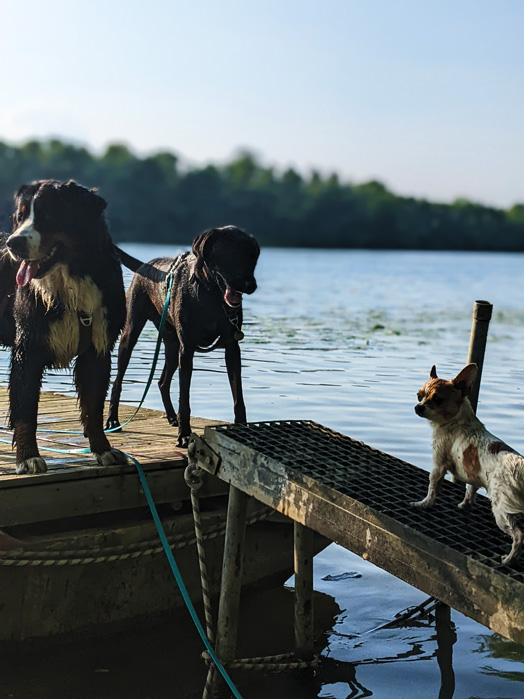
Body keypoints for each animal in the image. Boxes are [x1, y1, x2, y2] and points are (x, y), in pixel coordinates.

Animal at [1, 180, 128, 476]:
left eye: (48, 216)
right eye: (21, 216)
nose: (13, 243)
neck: (70, 280)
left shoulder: (97, 350)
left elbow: (94, 408)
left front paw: (102, 450)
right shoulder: (28, 350)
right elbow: (26, 410)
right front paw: (28, 457)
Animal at [108, 228, 260, 448]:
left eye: (253, 257)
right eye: (230, 254)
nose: (250, 285)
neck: (211, 295)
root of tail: (144, 265)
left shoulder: (232, 347)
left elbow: (238, 397)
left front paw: (241, 429)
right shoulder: (187, 350)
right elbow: (184, 399)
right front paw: (184, 435)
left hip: (172, 346)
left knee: (162, 382)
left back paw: (172, 417)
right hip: (131, 333)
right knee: (118, 381)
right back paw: (113, 419)